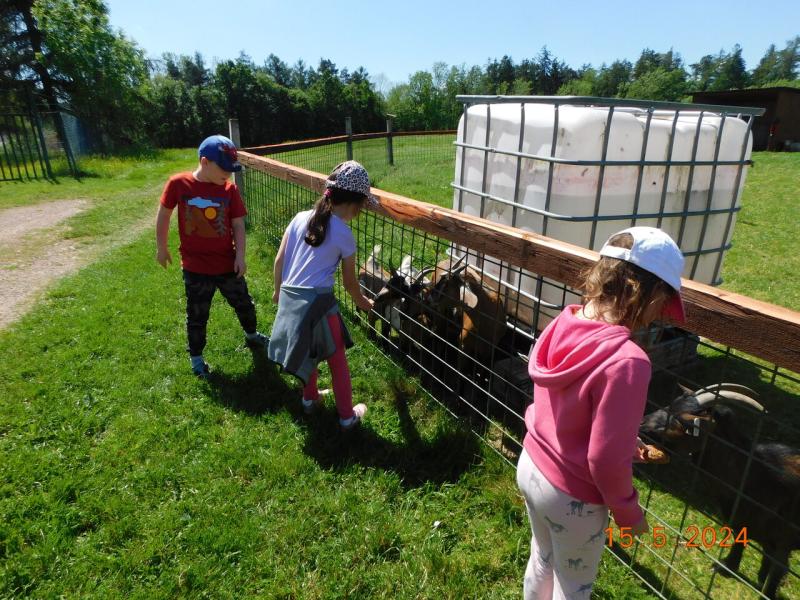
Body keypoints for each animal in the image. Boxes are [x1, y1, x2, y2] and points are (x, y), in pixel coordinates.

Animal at [639, 383, 800, 599]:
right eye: (670, 405)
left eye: (682, 421)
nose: (642, 424)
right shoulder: (740, 520)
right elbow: (740, 541)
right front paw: (726, 568)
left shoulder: (783, 541)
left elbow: (777, 570)